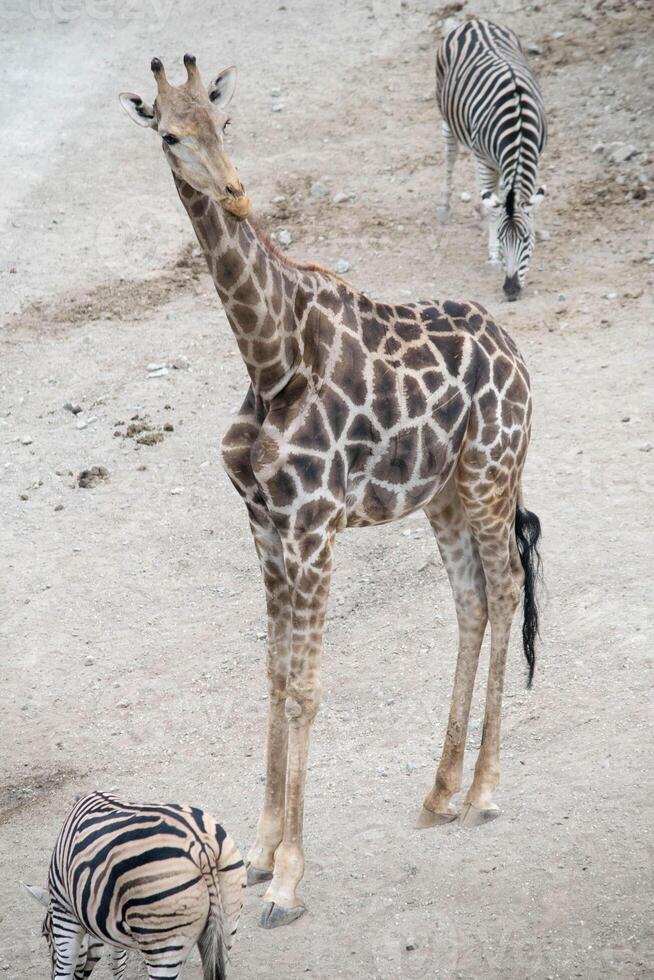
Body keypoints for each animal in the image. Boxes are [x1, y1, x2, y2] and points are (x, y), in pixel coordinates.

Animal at [21, 788, 246, 980]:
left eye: (45, 934)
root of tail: (201, 847)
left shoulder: (64, 911)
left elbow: (67, 968)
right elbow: (117, 961)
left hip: (163, 946)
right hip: (226, 925)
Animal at [121, 57, 544, 932]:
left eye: (223, 122)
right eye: (170, 134)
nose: (236, 193)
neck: (270, 355)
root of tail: (516, 353)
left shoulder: (313, 525)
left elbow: (307, 691)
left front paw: (287, 880)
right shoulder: (264, 523)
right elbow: (276, 676)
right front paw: (257, 851)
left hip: (489, 474)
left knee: (507, 586)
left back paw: (484, 791)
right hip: (443, 494)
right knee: (472, 601)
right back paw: (439, 792)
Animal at [438, 18, 552, 298]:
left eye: (526, 240)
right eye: (501, 239)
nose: (510, 290)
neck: (518, 127)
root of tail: (474, 22)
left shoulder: (535, 154)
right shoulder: (482, 158)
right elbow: (493, 210)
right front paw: (491, 258)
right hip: (446, 113)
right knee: (450, 153)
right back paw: (444, 207)